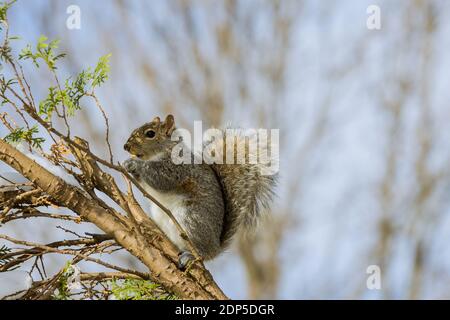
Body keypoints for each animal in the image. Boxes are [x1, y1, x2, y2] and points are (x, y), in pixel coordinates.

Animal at [124, 114, 278, 268]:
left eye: (150, 133)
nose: (126, 146)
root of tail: (216, 247)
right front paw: (127, 165)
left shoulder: (178, 168)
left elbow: (161, 178)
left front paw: (136, 165)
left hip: (191, 218)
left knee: (203, 252)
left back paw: (191, 255)